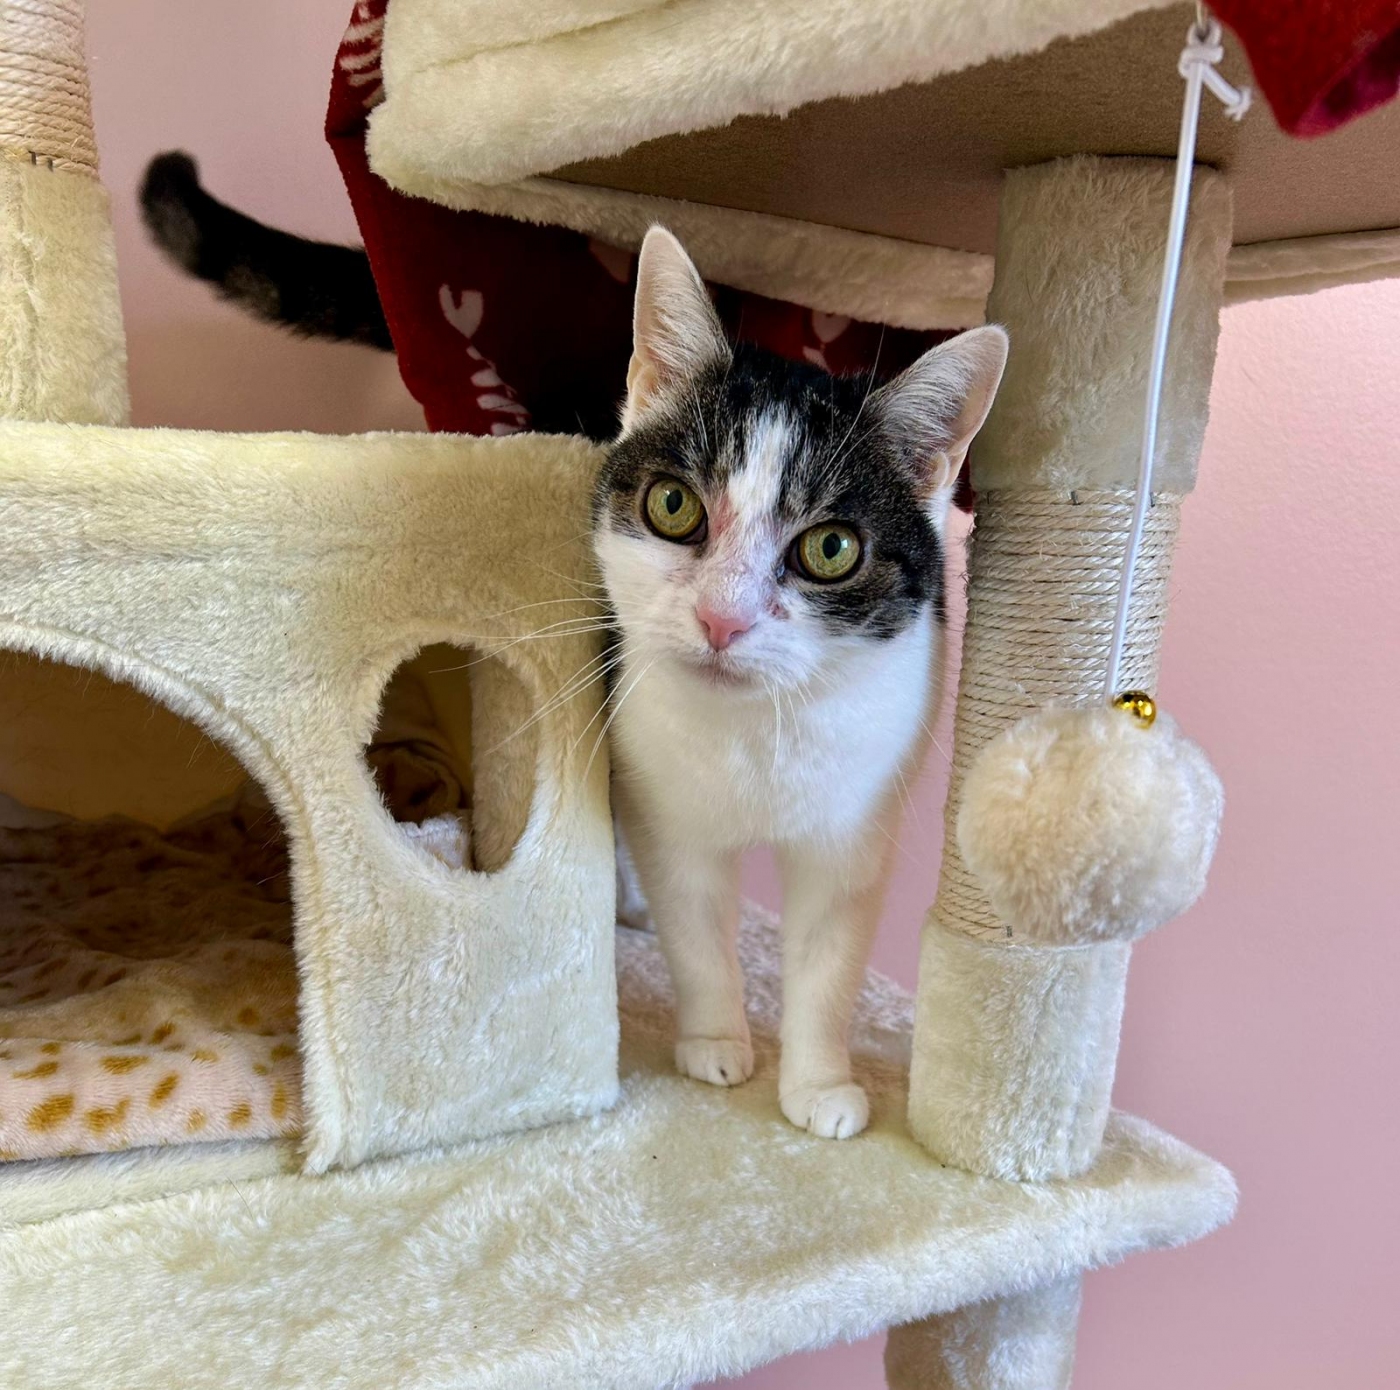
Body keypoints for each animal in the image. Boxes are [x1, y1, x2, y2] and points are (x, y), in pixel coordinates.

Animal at [596, 228, 1007, 1139]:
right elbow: (695, 923)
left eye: (831, 548)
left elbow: (829, 954)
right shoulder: (667, 803)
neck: (757, 730)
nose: (723, 619)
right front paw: (717, 1043)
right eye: (673, 505)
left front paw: (819, 1086)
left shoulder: (857, 823)